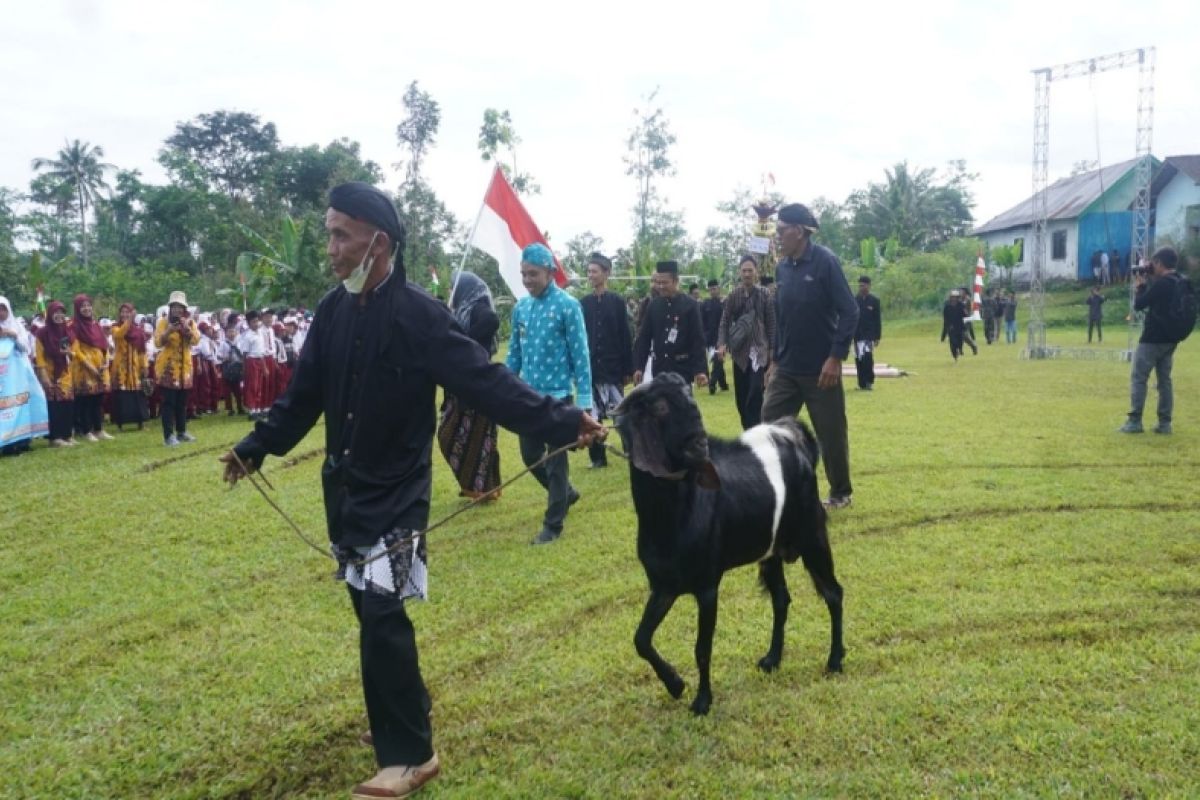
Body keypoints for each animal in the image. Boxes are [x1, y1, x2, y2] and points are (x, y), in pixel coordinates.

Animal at [614, 371, 849, 714]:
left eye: (691, 398)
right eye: (659, 407)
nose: (701, 445)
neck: (670, 516)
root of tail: (795, 440)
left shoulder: (707, 587)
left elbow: (702, 647)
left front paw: (702, 701)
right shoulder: (664, 585)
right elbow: (641, 639)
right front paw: (675, 684)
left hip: (813, 538)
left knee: (833, 593)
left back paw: (834, 660)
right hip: (772, 552)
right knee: (781, 599)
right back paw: (772, 659)